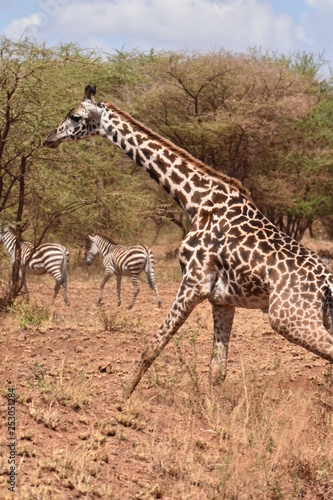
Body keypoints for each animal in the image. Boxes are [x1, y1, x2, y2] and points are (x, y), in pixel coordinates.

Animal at [42, 85, 332, 394]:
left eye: (75, 116)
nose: (48, 138)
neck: (195, 200)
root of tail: (327, 284)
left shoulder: (194, 282)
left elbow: (153, 347)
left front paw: (123, 397)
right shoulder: (222, 300)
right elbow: (216, 371)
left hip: (287, 318)